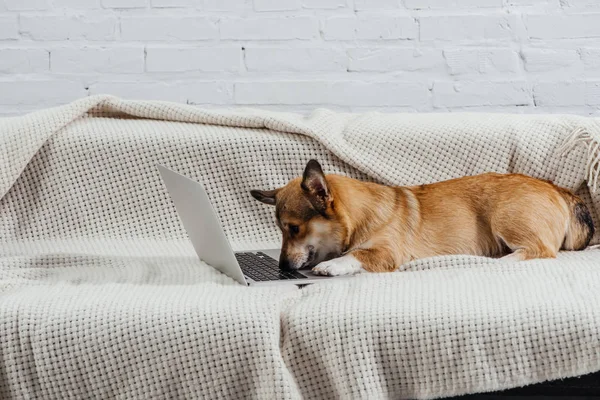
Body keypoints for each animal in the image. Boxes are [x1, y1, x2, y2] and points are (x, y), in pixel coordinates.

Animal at [250, 159, 596, 276]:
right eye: (281, 231)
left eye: (294, 229)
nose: (281, 268)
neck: (360, 217)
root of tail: (559, 189)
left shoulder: (387, 253)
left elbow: (356, 255)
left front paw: (332, 266)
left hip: (505, 217)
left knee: (540, 251)